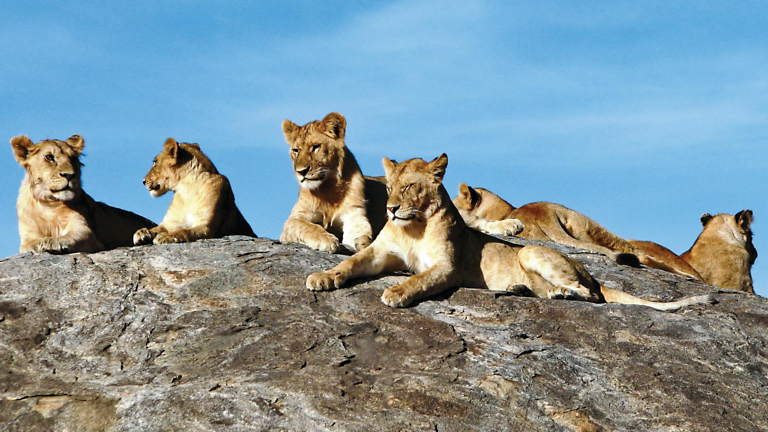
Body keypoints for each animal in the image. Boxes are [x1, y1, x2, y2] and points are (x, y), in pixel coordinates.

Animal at [11, 134, 156, 254]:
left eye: (73, 158)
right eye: (49, 157)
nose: (69, 175)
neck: (50, 204)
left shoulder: (85, 231)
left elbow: (71, 236)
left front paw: (53, 242)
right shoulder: (27, 236)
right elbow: (27, 245)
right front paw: (39, 243)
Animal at [280, 112, 387, 253]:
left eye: (316, 147)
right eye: (296, 150)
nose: (301, 171)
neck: (330, 189)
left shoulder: (353, 215)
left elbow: (361, 232)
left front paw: (364, 243)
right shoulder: (295, 218)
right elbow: (306, 226)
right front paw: (326, 239)